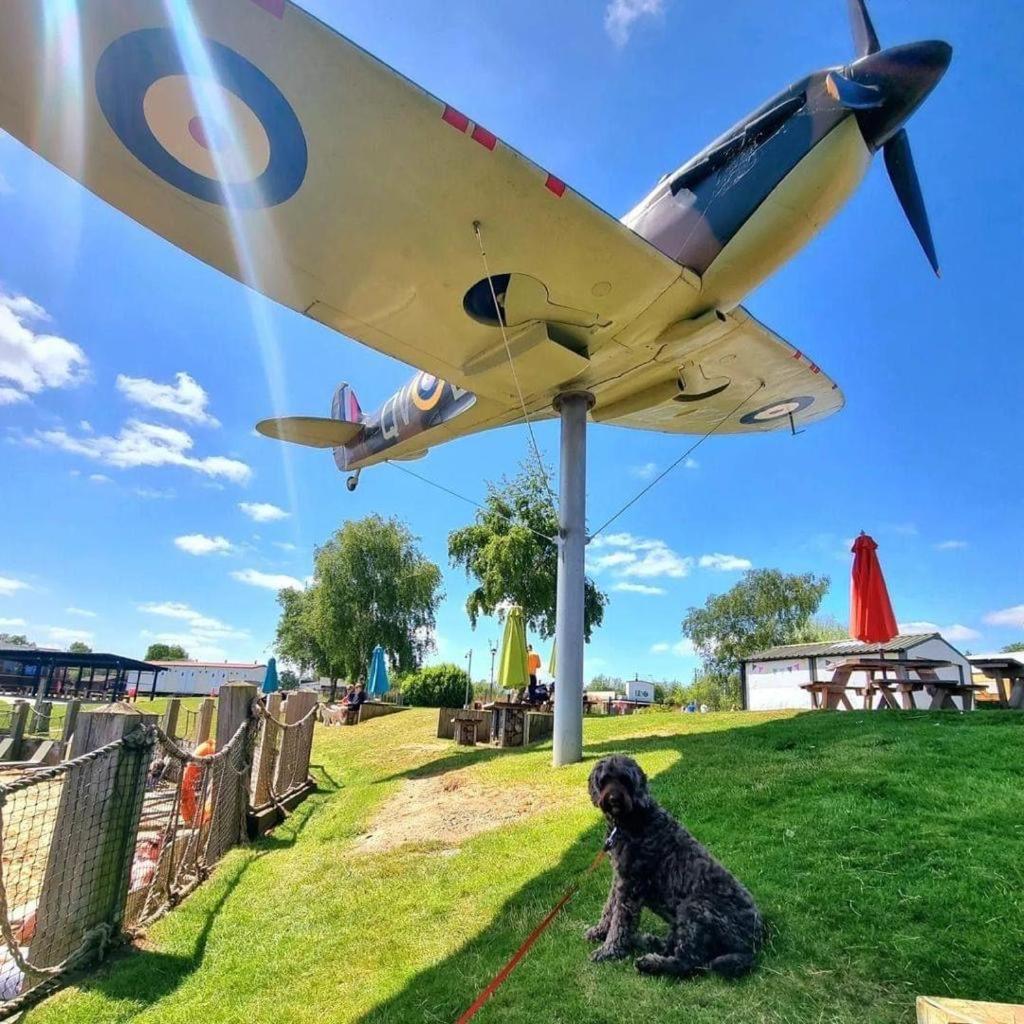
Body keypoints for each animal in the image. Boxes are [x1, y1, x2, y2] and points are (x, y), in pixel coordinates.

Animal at [585, 757, 761, 978]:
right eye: (605, 779)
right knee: (673, 947)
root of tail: (755, 941)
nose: (614, 799)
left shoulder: (630, 885)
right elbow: (609, 907)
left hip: (693, 909)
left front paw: (609, 950)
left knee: (687, 962)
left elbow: (620, 922)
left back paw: (650, 963)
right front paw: (600, 931)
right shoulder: (619, 878)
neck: (634, 819)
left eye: (625, 779)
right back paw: (646, 941)